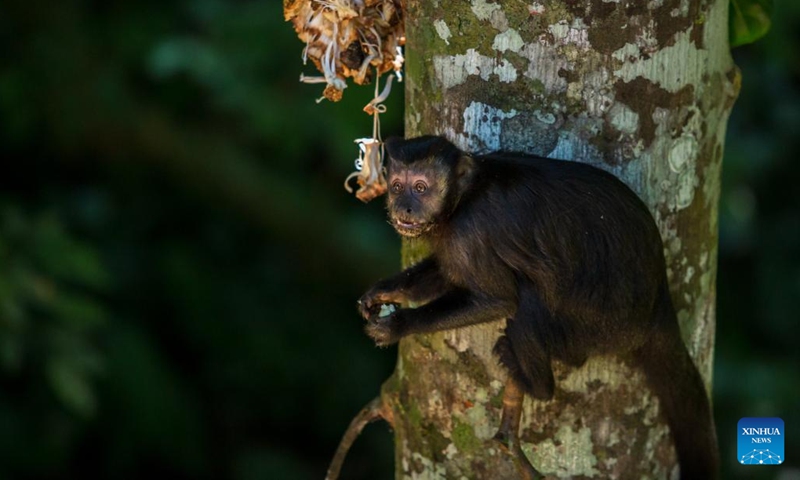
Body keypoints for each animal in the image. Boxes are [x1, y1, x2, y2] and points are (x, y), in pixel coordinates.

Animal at [360, 134, 720, 480]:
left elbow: (498, 298)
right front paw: (382, 292)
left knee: (530, 300)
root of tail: (658, 302)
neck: (465, 196)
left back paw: (537, 383)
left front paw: (399, 325)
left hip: (608, 326)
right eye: (397, 187)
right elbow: (449, 275)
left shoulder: (471, 231)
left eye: (421, 188)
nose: (404, 207)